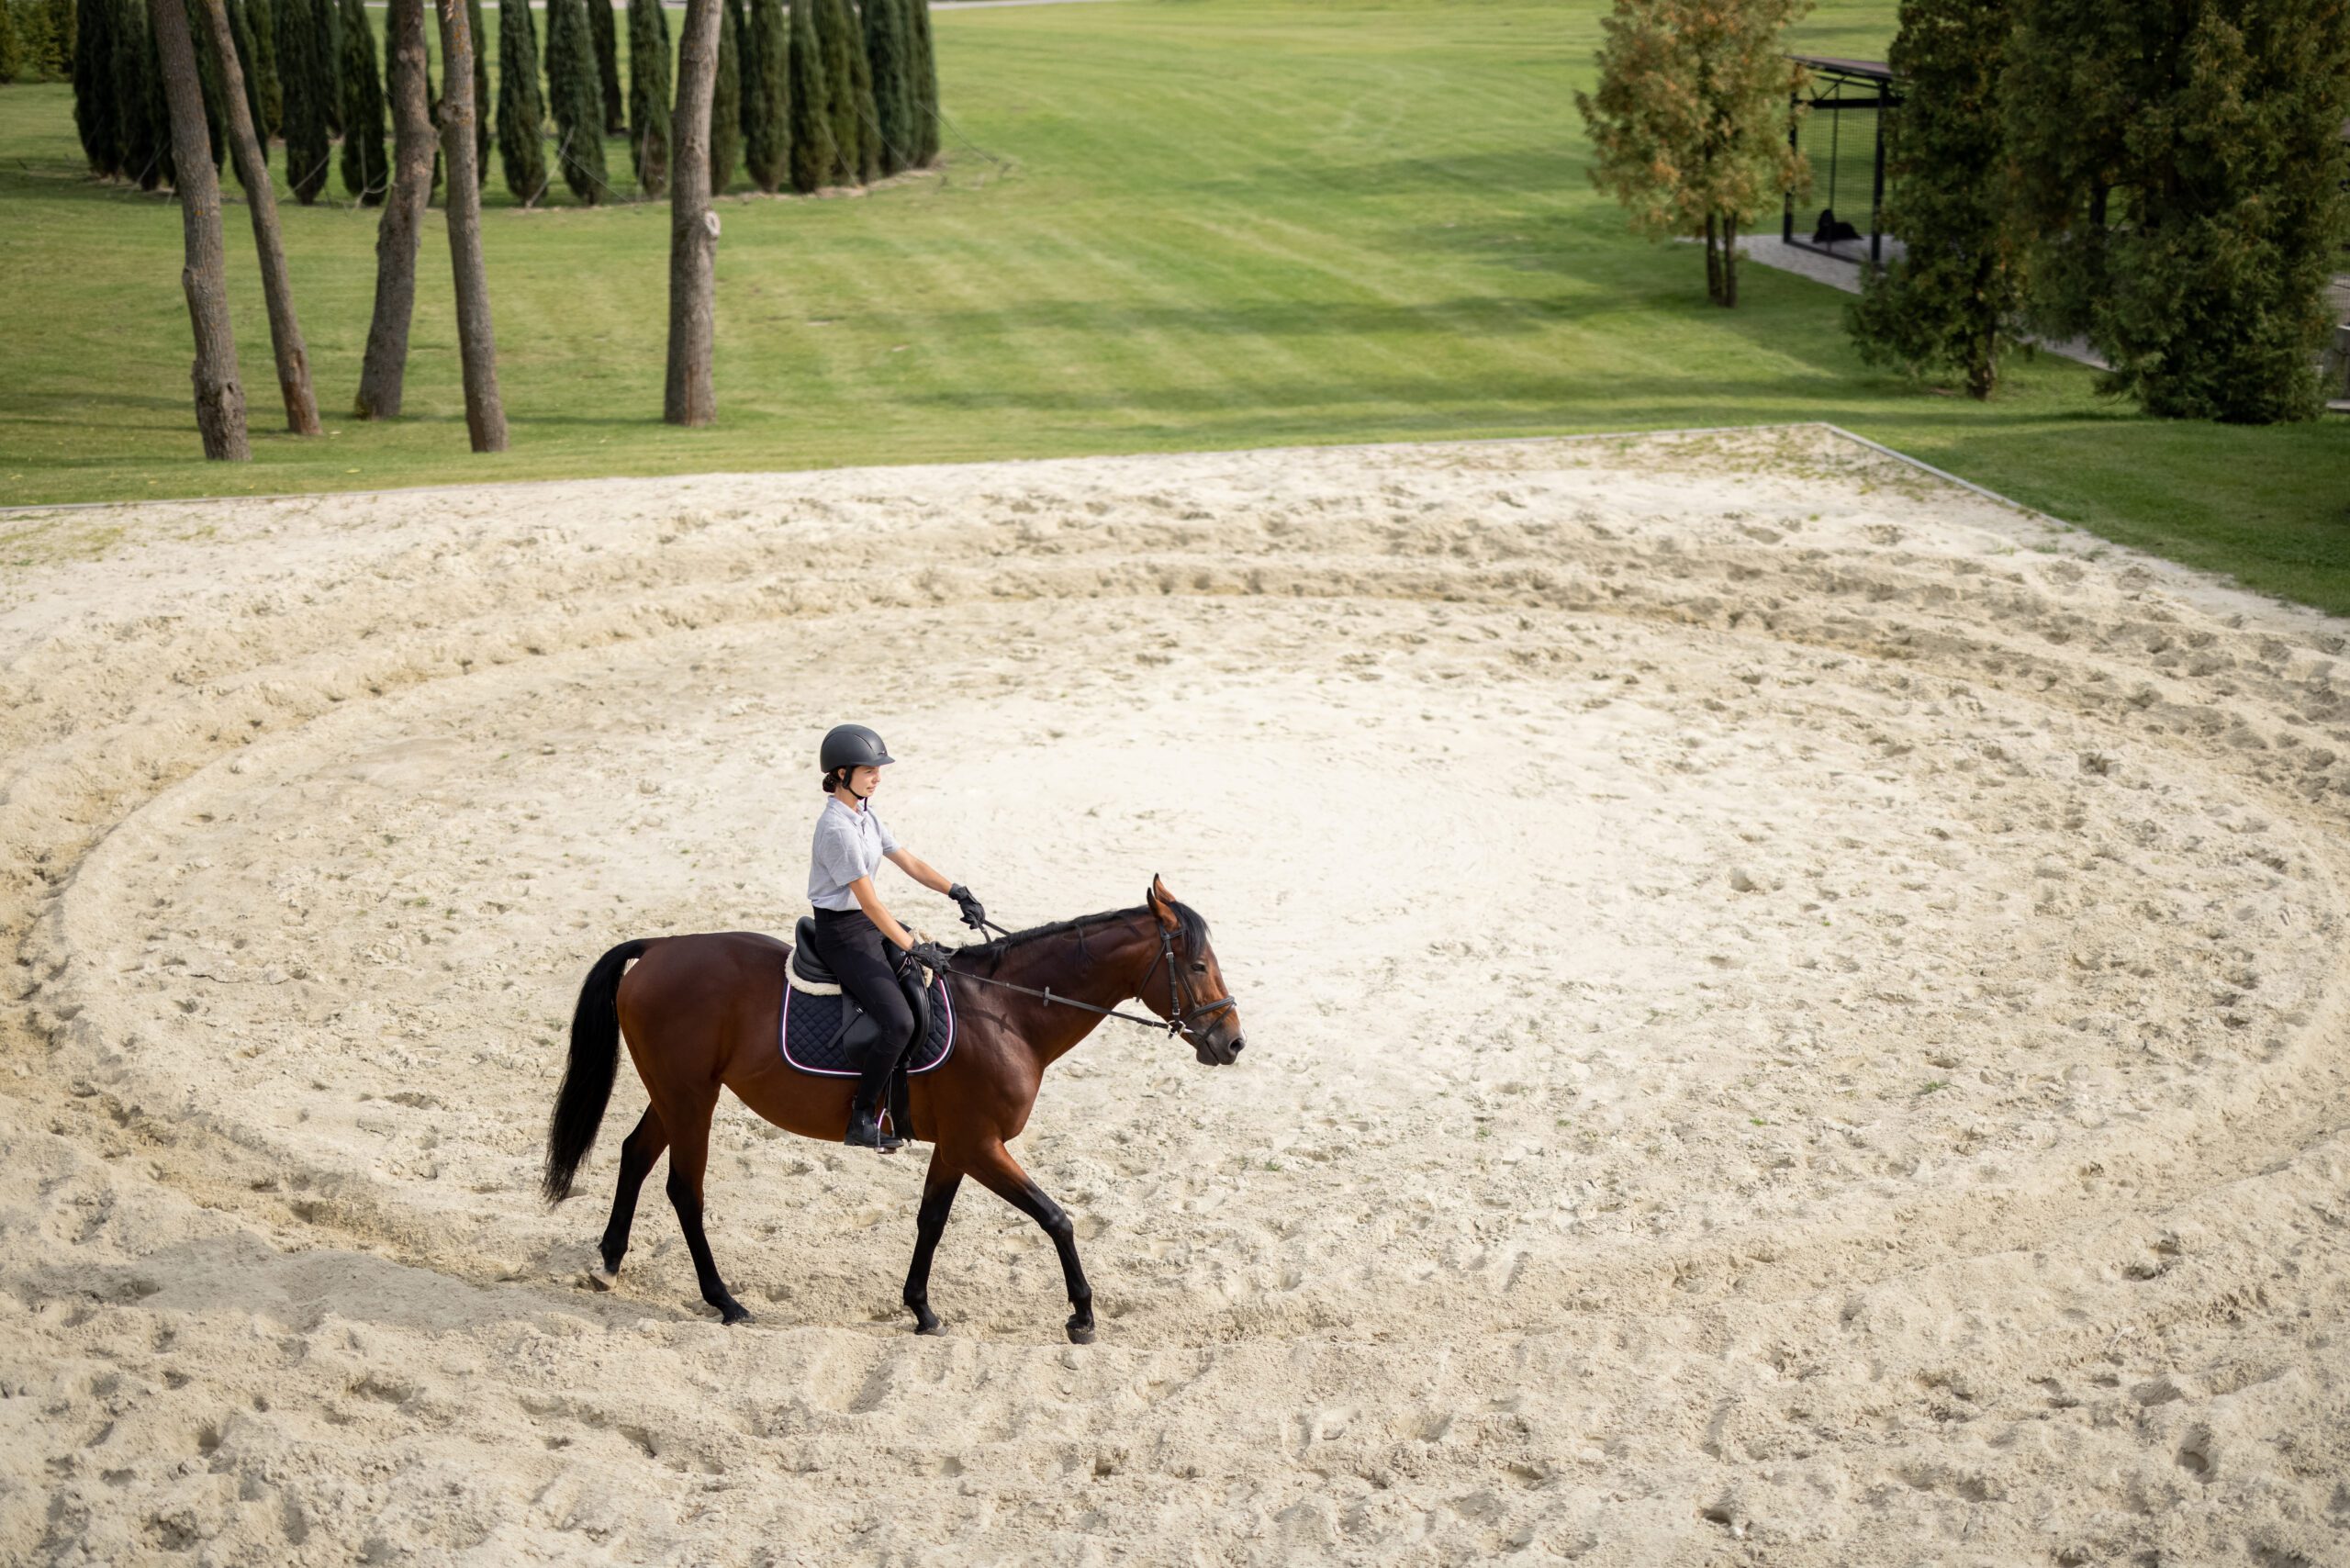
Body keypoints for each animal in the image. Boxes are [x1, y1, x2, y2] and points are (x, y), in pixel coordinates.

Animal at [538, 879, 1249, 1344]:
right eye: (1196, 964)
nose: (1232, 1042)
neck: (1009, 1011)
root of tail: (659, 947)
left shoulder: (958, 1145)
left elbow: (931, 1221)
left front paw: (922, 1310)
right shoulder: (981, 1143)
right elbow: (1057, 1218)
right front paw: (1081, 1315)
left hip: (679, 1093)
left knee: (635, 1154)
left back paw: (609, 1261)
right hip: (691, 1099)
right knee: (685, 1189)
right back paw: (725, 1301)